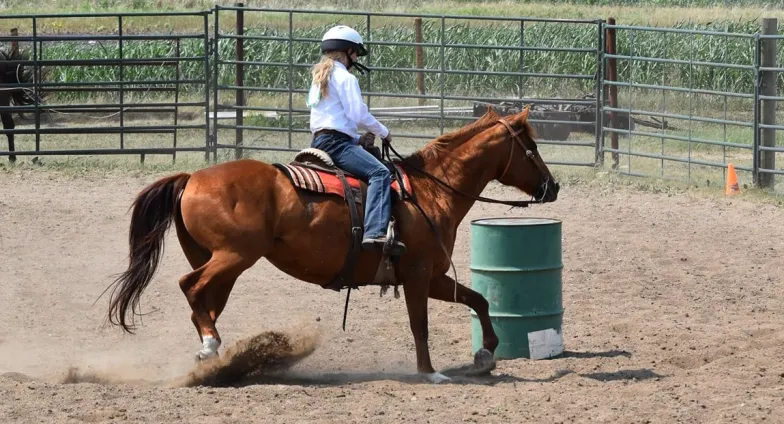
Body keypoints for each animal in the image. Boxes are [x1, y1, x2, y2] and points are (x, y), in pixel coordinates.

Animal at [104, 105, 560, 384]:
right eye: (532, 148)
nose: (552, 187)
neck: (429, 192)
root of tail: (191, 178)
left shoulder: (432, 276)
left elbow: (479, 298)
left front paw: (485, 356)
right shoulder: (415, 275)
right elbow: (420, 324)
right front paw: (430, 372)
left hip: (222, 262)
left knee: (204, 303)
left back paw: (214, 357)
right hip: (234, 256)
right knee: (190, 287)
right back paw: (213, 348)